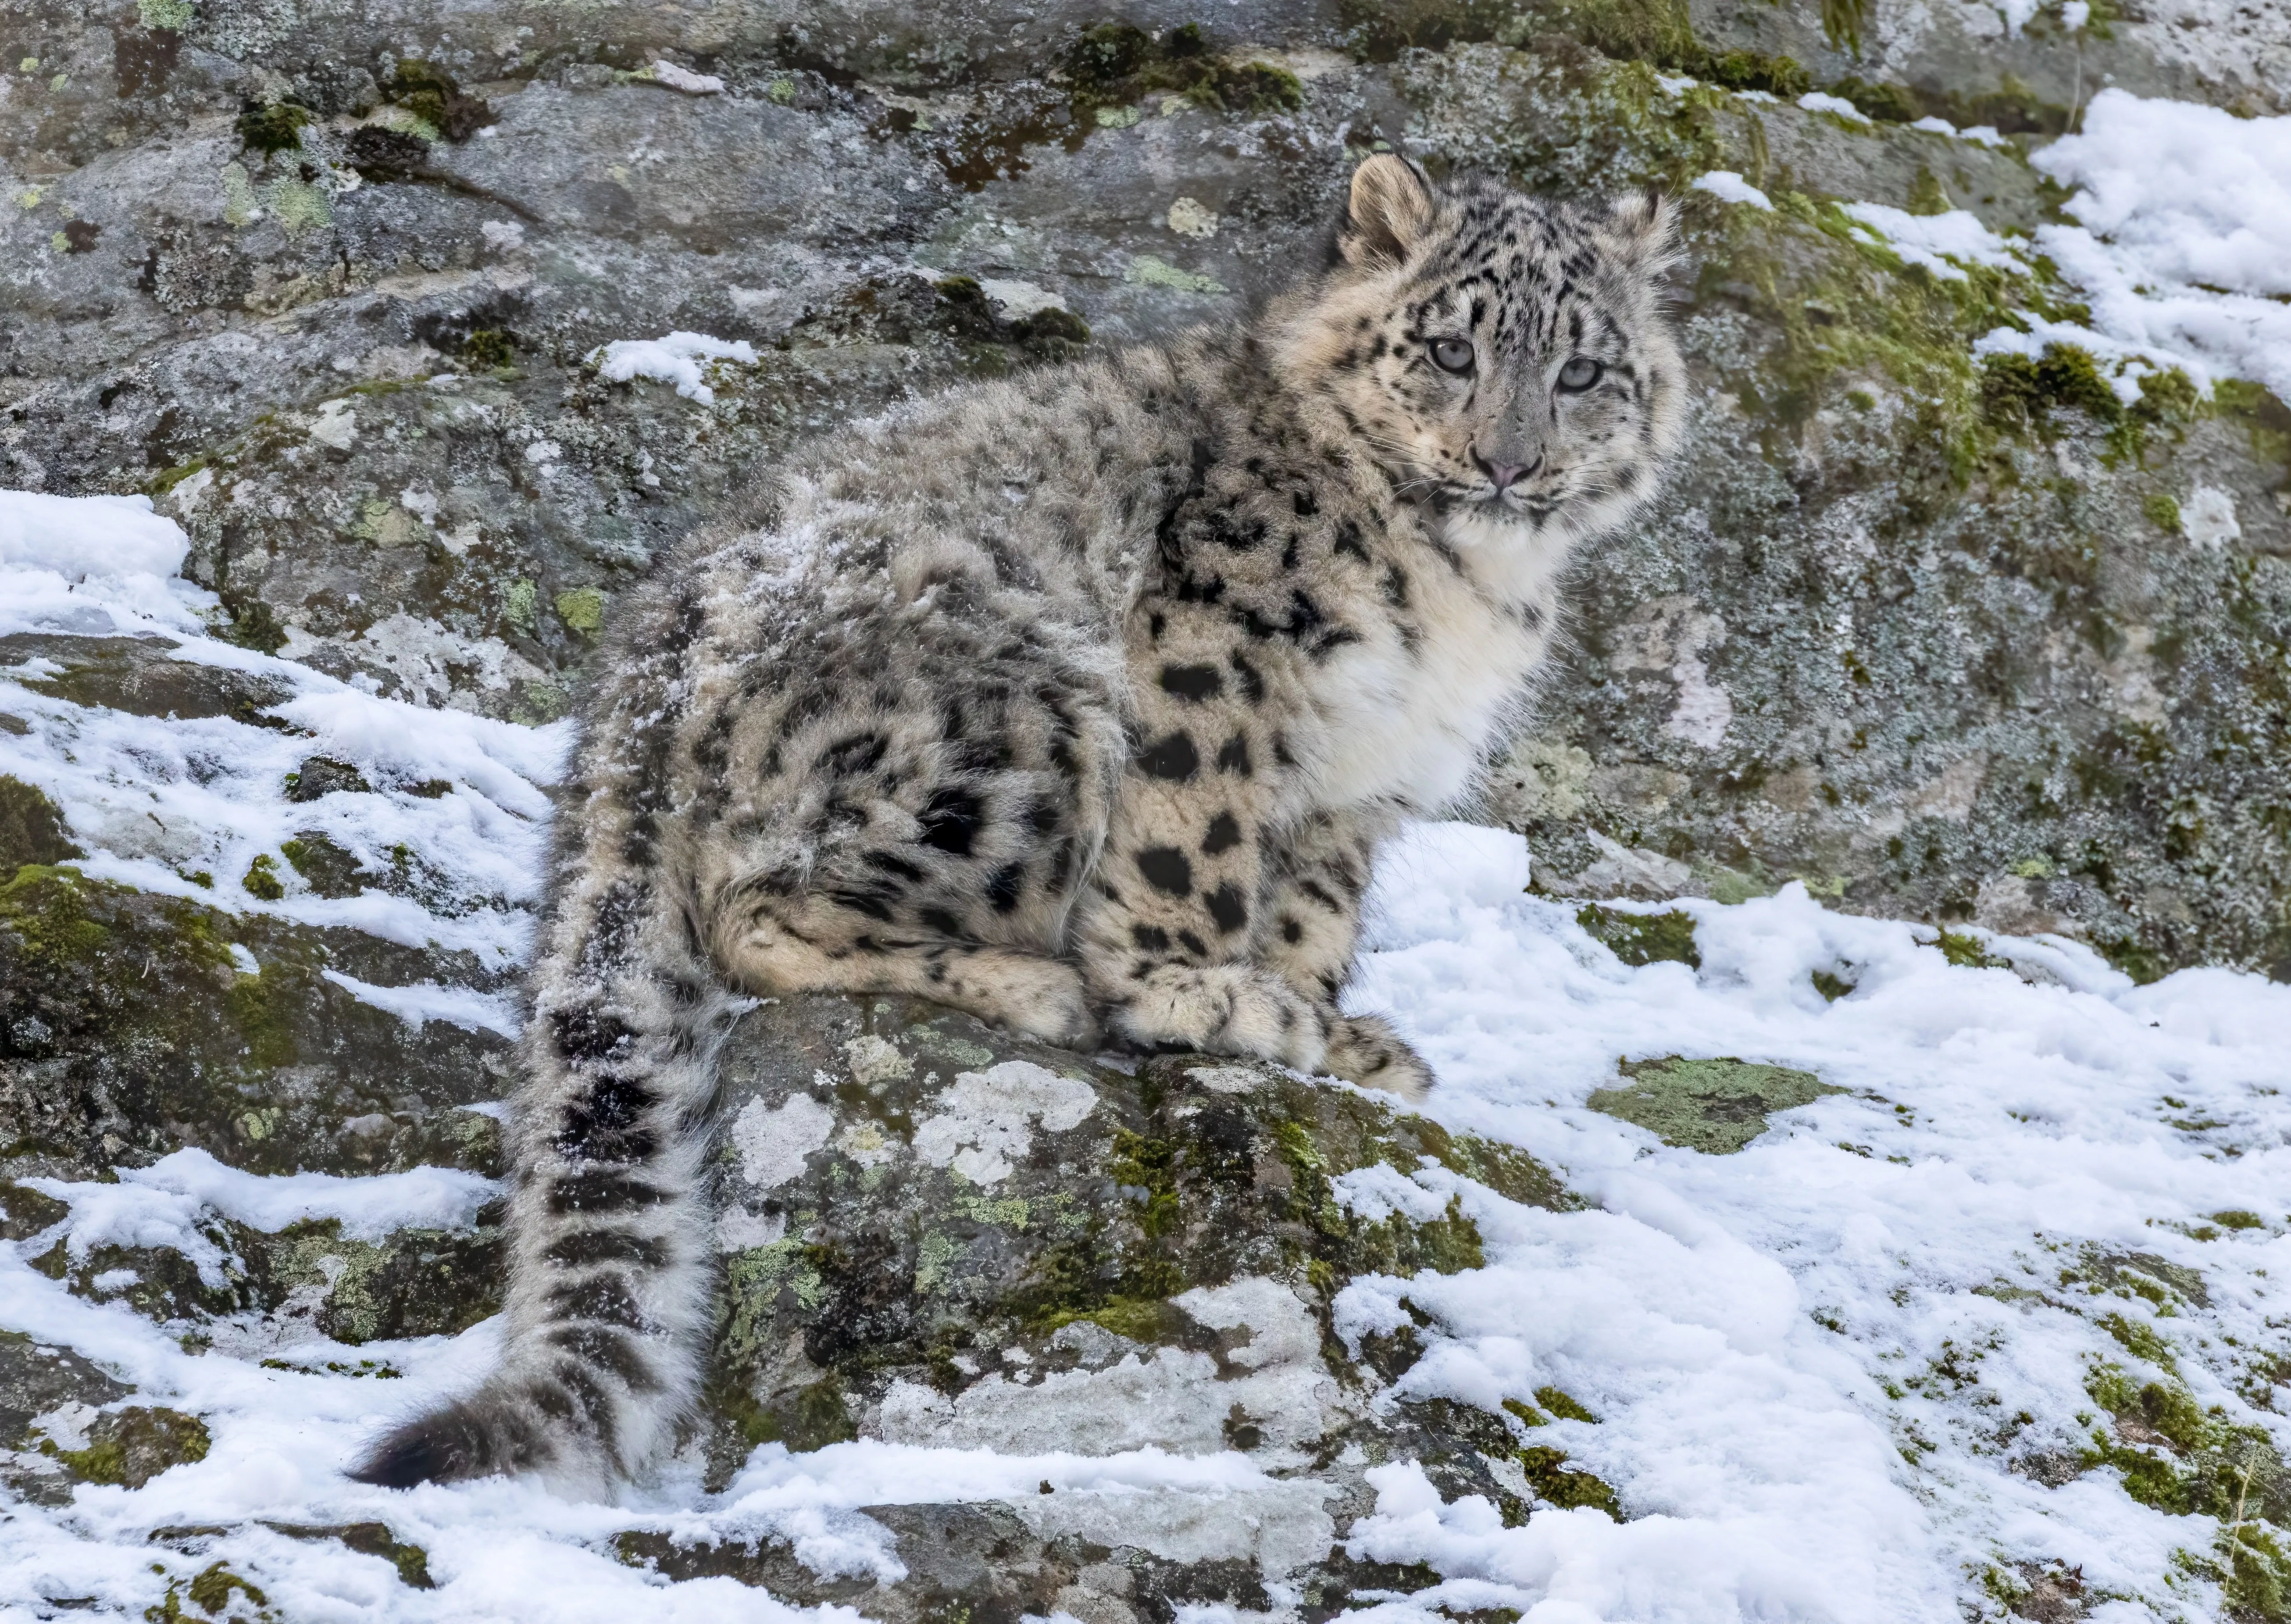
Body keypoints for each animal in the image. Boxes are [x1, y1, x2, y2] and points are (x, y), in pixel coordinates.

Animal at [351, 154, 1685, 1494]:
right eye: (1453, 350)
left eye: (1582, 371)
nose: (1508, 462)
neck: (1466, 588)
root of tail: (639, 683)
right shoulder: (1223, 652)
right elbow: (1197, 846)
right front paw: (1202, 996)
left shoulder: (1355, 790)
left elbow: (1312, 913)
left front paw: (1324, 1028)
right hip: (1026, 720)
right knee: (753, 911)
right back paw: (1032, 983)